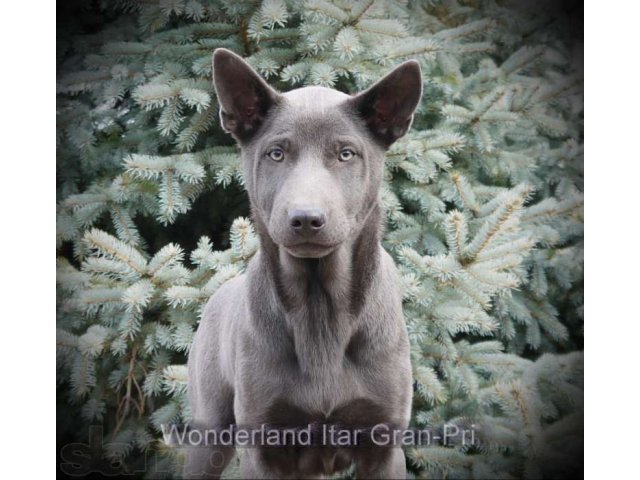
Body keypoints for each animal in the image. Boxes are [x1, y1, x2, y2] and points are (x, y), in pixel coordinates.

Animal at [182, 49, 422, 480]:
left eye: (346, 154)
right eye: (277, 153)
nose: (306, 219)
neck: (319, 303)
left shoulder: (383, 446)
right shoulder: (263, 447)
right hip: (209, 433)